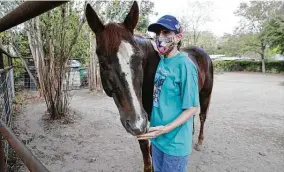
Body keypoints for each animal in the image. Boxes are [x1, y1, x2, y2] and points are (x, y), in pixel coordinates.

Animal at [85, 1, 213, 172]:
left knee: (202, 116)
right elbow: (145, 147)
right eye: (103, 63)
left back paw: (199, 141)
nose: (136, 122)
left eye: (139, 59)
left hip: (205, 94)